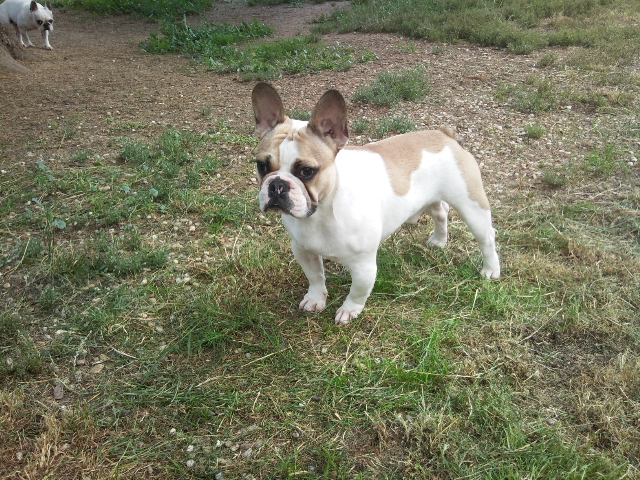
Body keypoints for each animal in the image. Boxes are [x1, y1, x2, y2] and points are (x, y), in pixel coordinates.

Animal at [251, 82, 500, 326]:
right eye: (261, 166)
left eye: (306, 171)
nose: (277, 185)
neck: (322, 211)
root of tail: (445, 135)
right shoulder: (303, 250)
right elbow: (315, 278)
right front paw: (315, 299)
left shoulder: (364, 265)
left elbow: (358, 291)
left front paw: (349, 311)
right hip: (431, 198)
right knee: (440, 212)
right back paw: (438, 240)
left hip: (471, 204)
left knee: (486, 237)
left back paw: (490, 269)